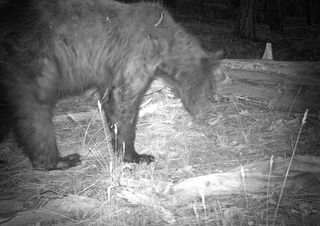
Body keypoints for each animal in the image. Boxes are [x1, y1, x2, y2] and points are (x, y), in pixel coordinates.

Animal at [0, 0, 224, 170]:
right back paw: (60, 160)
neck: (165, 40)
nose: (205, 112)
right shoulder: (138, 53)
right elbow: (124, 101)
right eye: (208, 88)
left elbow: (110, 97)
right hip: (32, 65)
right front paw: (136, 156)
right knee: (35, 113)